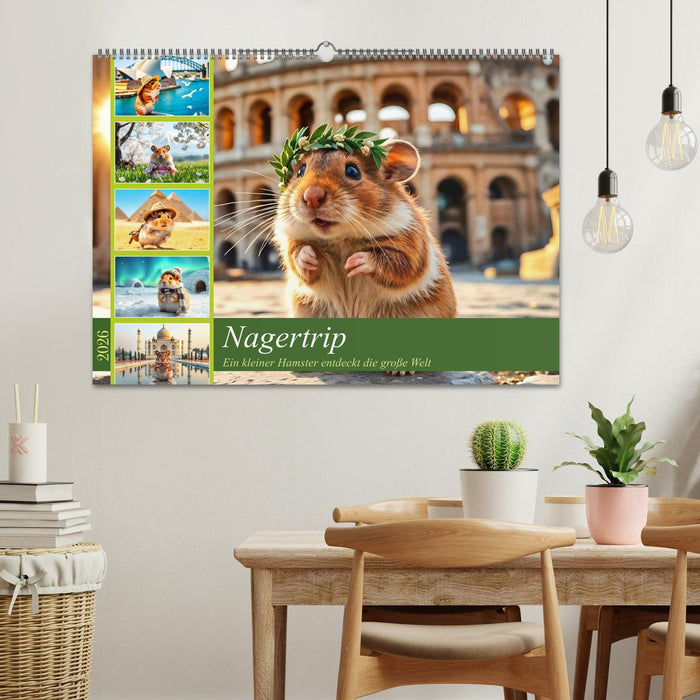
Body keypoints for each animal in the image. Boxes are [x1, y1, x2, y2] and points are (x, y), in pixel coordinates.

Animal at [273, 140, 457, 319]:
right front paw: (310, 255)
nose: (311, 197)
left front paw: (354, 262)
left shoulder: (412, 246)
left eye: (352, 171)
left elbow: (396, 262)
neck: (340, 239)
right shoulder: (293, 242)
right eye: (301, 171)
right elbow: (297, 257)